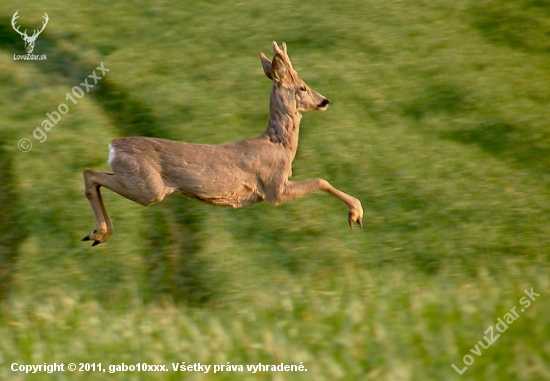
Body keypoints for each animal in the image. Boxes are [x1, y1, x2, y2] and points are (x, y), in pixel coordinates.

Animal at [82, 40, 364, 245]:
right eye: (303, 87)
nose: (324, 101)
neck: (278, 146)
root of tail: (113, 146)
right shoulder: (274, 189)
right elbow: (320, 180)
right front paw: (356, 214)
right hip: (149, 187)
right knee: (90, 173)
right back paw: (98, 233)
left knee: (93, 175)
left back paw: (97, 235)